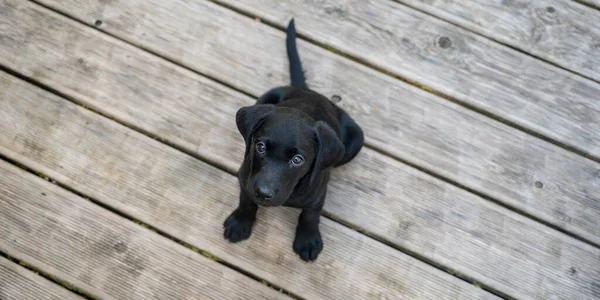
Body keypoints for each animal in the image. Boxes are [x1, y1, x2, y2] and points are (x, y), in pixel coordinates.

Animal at [224, 19, 360, 262]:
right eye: (260, 147)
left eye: (297, 160)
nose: (264, 193)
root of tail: (308, 90)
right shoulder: (246, 177)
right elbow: (246, 199)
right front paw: (240, 222)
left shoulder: (318, 192)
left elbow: (310, 214)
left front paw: (308, 240)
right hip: (267, 96)